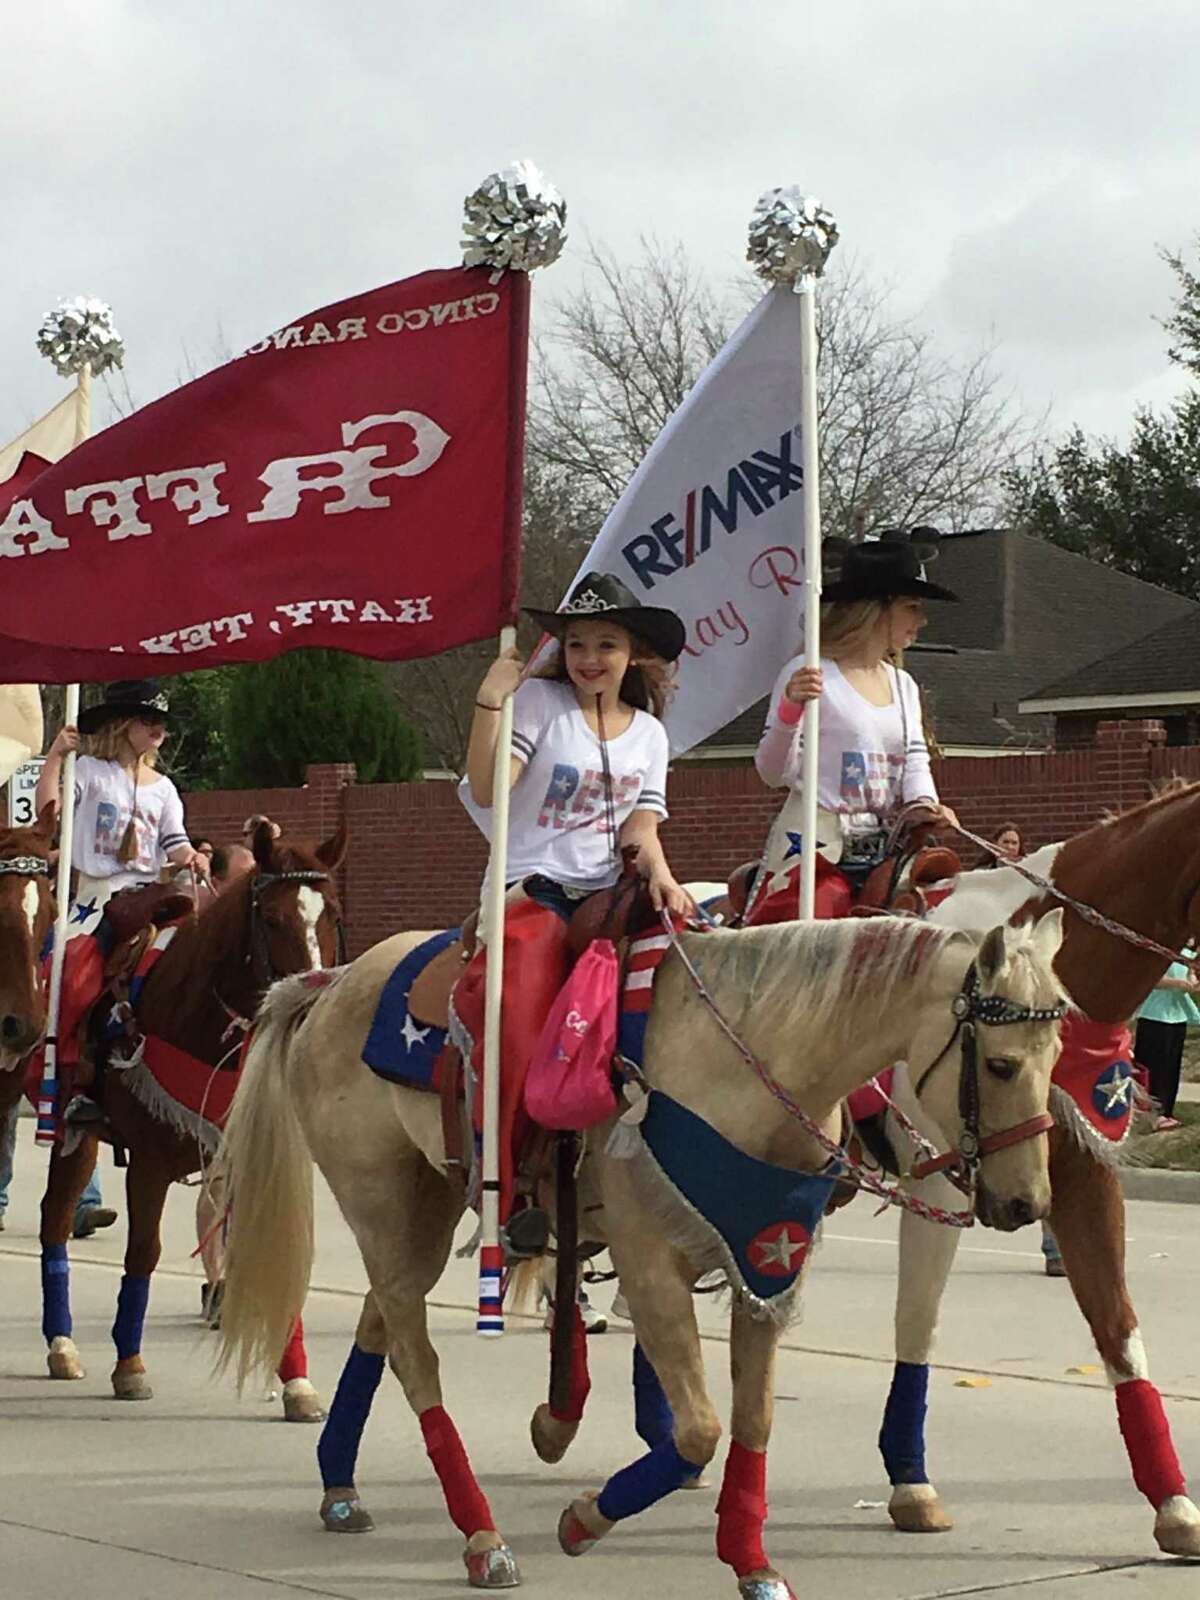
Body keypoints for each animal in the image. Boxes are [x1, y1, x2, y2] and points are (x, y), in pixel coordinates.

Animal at [37, 819, 345, 1420]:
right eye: (272, 919)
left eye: (331, 914)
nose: (309, 1008)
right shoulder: (150, 1161)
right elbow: (144, 1252)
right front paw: (130, 1366)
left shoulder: (247, 1157)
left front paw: (296, 1382)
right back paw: (62, 1344)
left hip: (78, 1135)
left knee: (56, 1216)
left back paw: (62, 1347)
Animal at [876, 787, 1200, 1561]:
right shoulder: (938, 1180)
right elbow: (917, 1320)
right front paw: (911, 1484)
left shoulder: (1083, 1178)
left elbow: (1119, 1328)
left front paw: (1173, 1503)